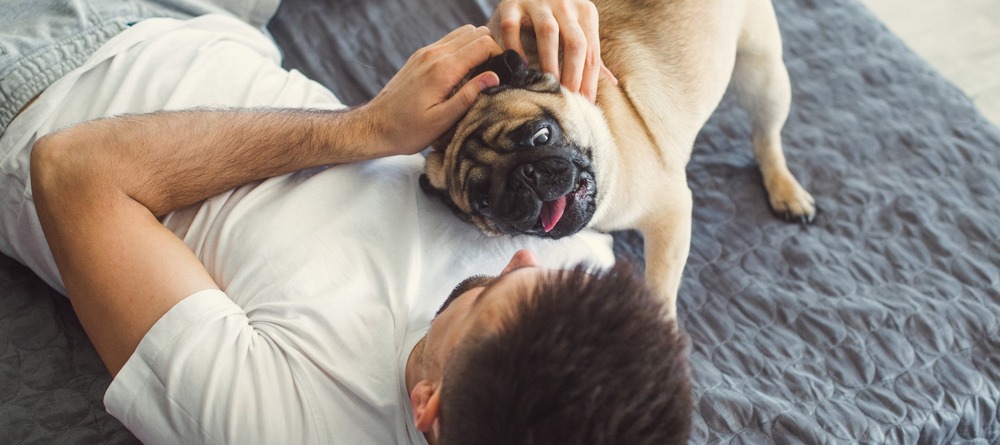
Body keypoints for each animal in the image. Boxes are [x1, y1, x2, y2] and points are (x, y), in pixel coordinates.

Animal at [418, 0, 816, 320]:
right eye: (484, 203)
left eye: (541, 136)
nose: (525, 176)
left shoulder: (670, 216)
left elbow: (659, 287)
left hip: (764, 75)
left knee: (766, 137)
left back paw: (786, 191)